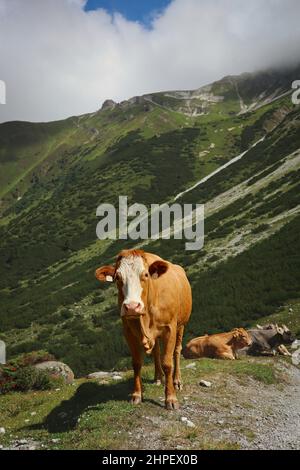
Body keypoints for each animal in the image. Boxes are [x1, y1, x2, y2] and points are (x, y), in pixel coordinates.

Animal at [95, 252, 192, 410]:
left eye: (145, 274)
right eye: (117, 277)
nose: (132, 307)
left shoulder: (170, 328)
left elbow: (167, 363)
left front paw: (171, 398)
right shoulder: (128, 331)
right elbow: (136, 363)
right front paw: (136, 395)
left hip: (181, 324)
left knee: (177, 350)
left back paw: (177, 381)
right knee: (156, 351)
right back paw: (158, 377)